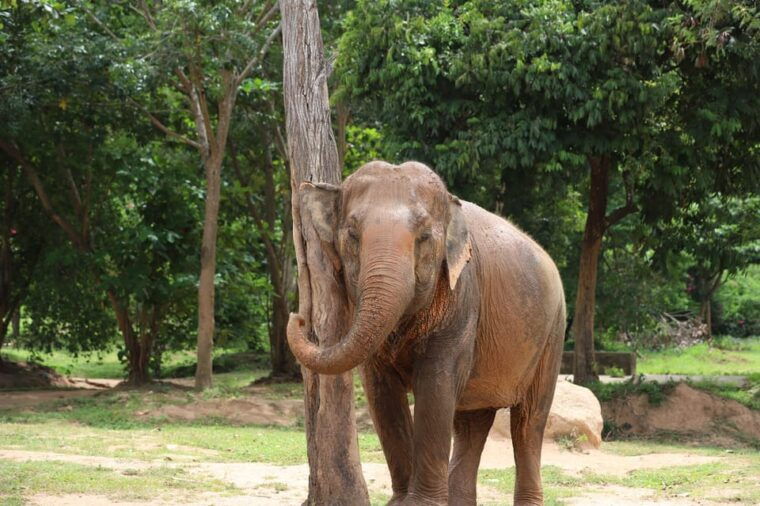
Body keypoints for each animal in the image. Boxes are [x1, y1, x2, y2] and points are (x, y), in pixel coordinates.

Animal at [288, 161, 566, 505]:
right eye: (352, 234)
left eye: (424, 237)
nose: (298, 318)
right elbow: (381, 391)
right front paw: (400, 501)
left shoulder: (462, 297)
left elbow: (436, 385)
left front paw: (419, 503)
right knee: (472, 421)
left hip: (553, 334)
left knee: (529, 421)